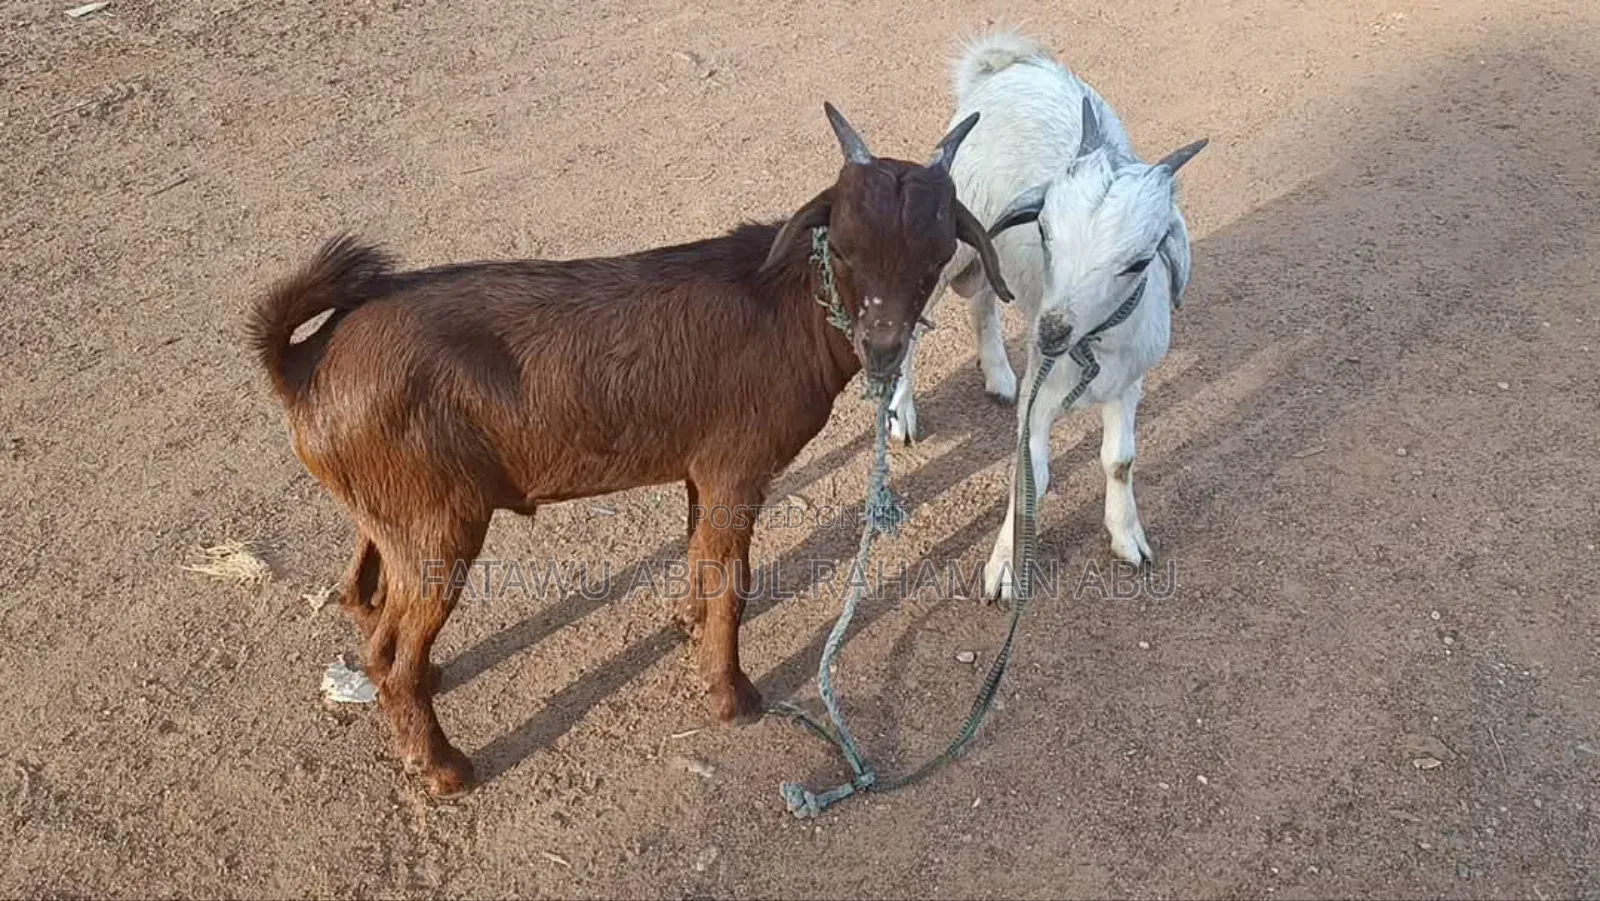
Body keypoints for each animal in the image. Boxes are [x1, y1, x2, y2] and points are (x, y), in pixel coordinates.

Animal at [247, 103, 1011, 797]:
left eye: (935, 258)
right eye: (844, 248)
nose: (883, 347)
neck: (785, 308)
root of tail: (301, 364)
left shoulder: (703, 470)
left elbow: (701, 555)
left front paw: (689, 627)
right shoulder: (738, 471)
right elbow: (735, 581)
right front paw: (732, 695)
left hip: (393, 512)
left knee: (371, 616)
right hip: (441, 522)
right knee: (397, 653)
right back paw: (444, 769)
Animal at [885, 30, 1206, 600]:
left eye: (1139, 261)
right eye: (1044, 230)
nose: (1052, 332)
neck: (1092, 350)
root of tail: (1008, 67)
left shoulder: (1129, 383)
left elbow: (1120, 461)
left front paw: (1128, 538)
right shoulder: (1041, 393)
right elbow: (1028, 473)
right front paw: (1005, 571)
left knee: (984, 301)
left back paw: (997, 374)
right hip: (950, 244)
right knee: (914, 326)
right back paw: (902, 414)